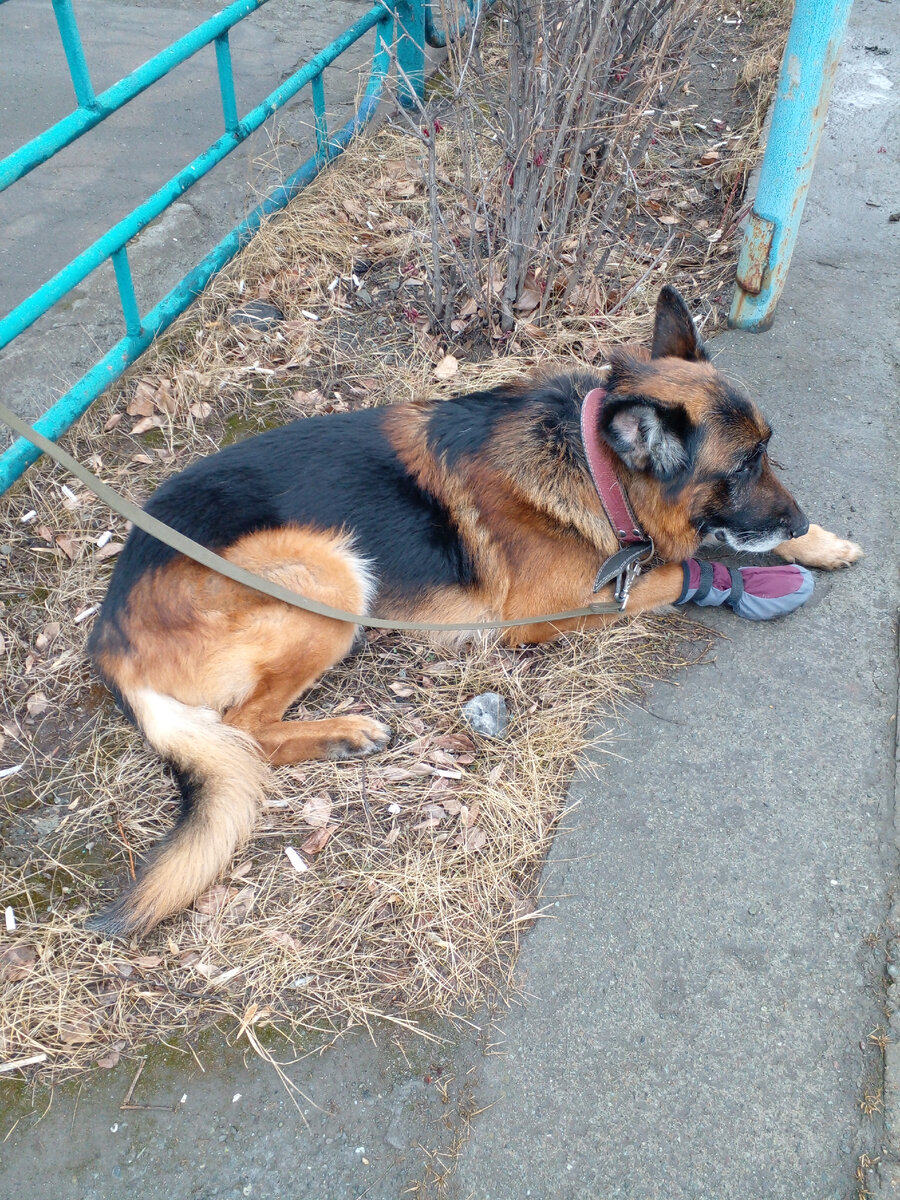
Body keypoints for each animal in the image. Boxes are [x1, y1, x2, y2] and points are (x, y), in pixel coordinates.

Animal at [86, 288, 868, 936]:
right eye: (741, 469)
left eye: (770, 452)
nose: (798, 519)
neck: (594, 465)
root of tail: (109, 640)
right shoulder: (555, 606)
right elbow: (674, 569)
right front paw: (746, 572)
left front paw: (822, 543)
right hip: (330, 570)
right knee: (246, 728)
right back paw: (341, 732)